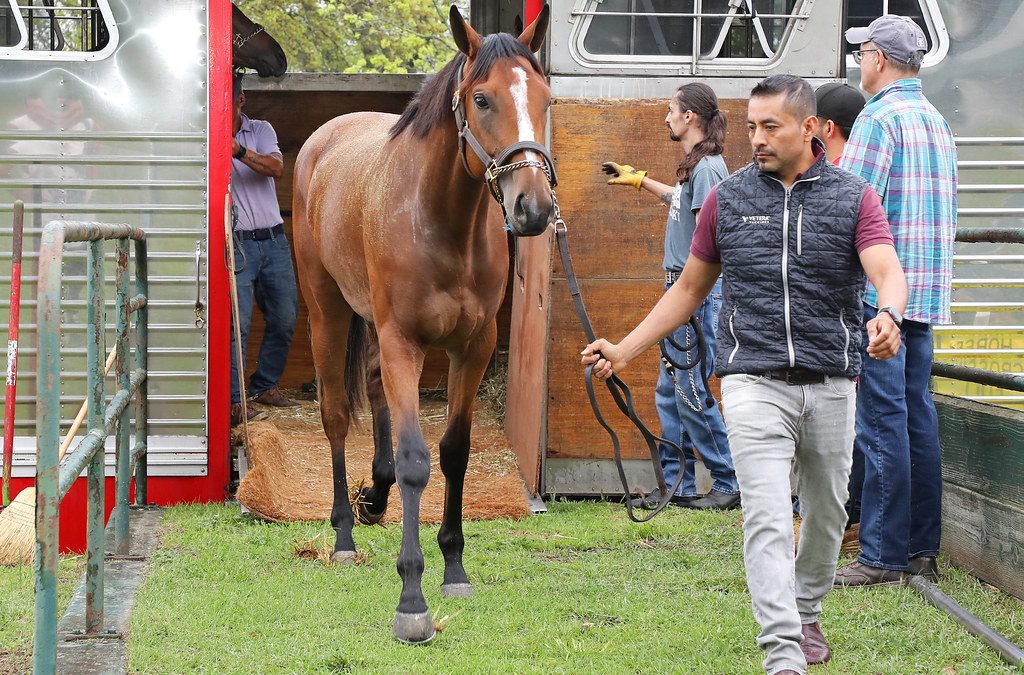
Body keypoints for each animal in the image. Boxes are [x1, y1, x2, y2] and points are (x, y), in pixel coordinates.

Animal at [292, 6, 553, 644]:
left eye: (545, 98)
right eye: (481, 99)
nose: (533, 207)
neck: (440, 221)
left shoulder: (473, 346)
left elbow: (454, 451)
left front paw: (454, 565)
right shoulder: (404, 343)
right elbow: (416, 461)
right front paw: (411, 598)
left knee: (375, 392)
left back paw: (375, 495)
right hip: (328, 310)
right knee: (337, 415)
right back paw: (344, 532)